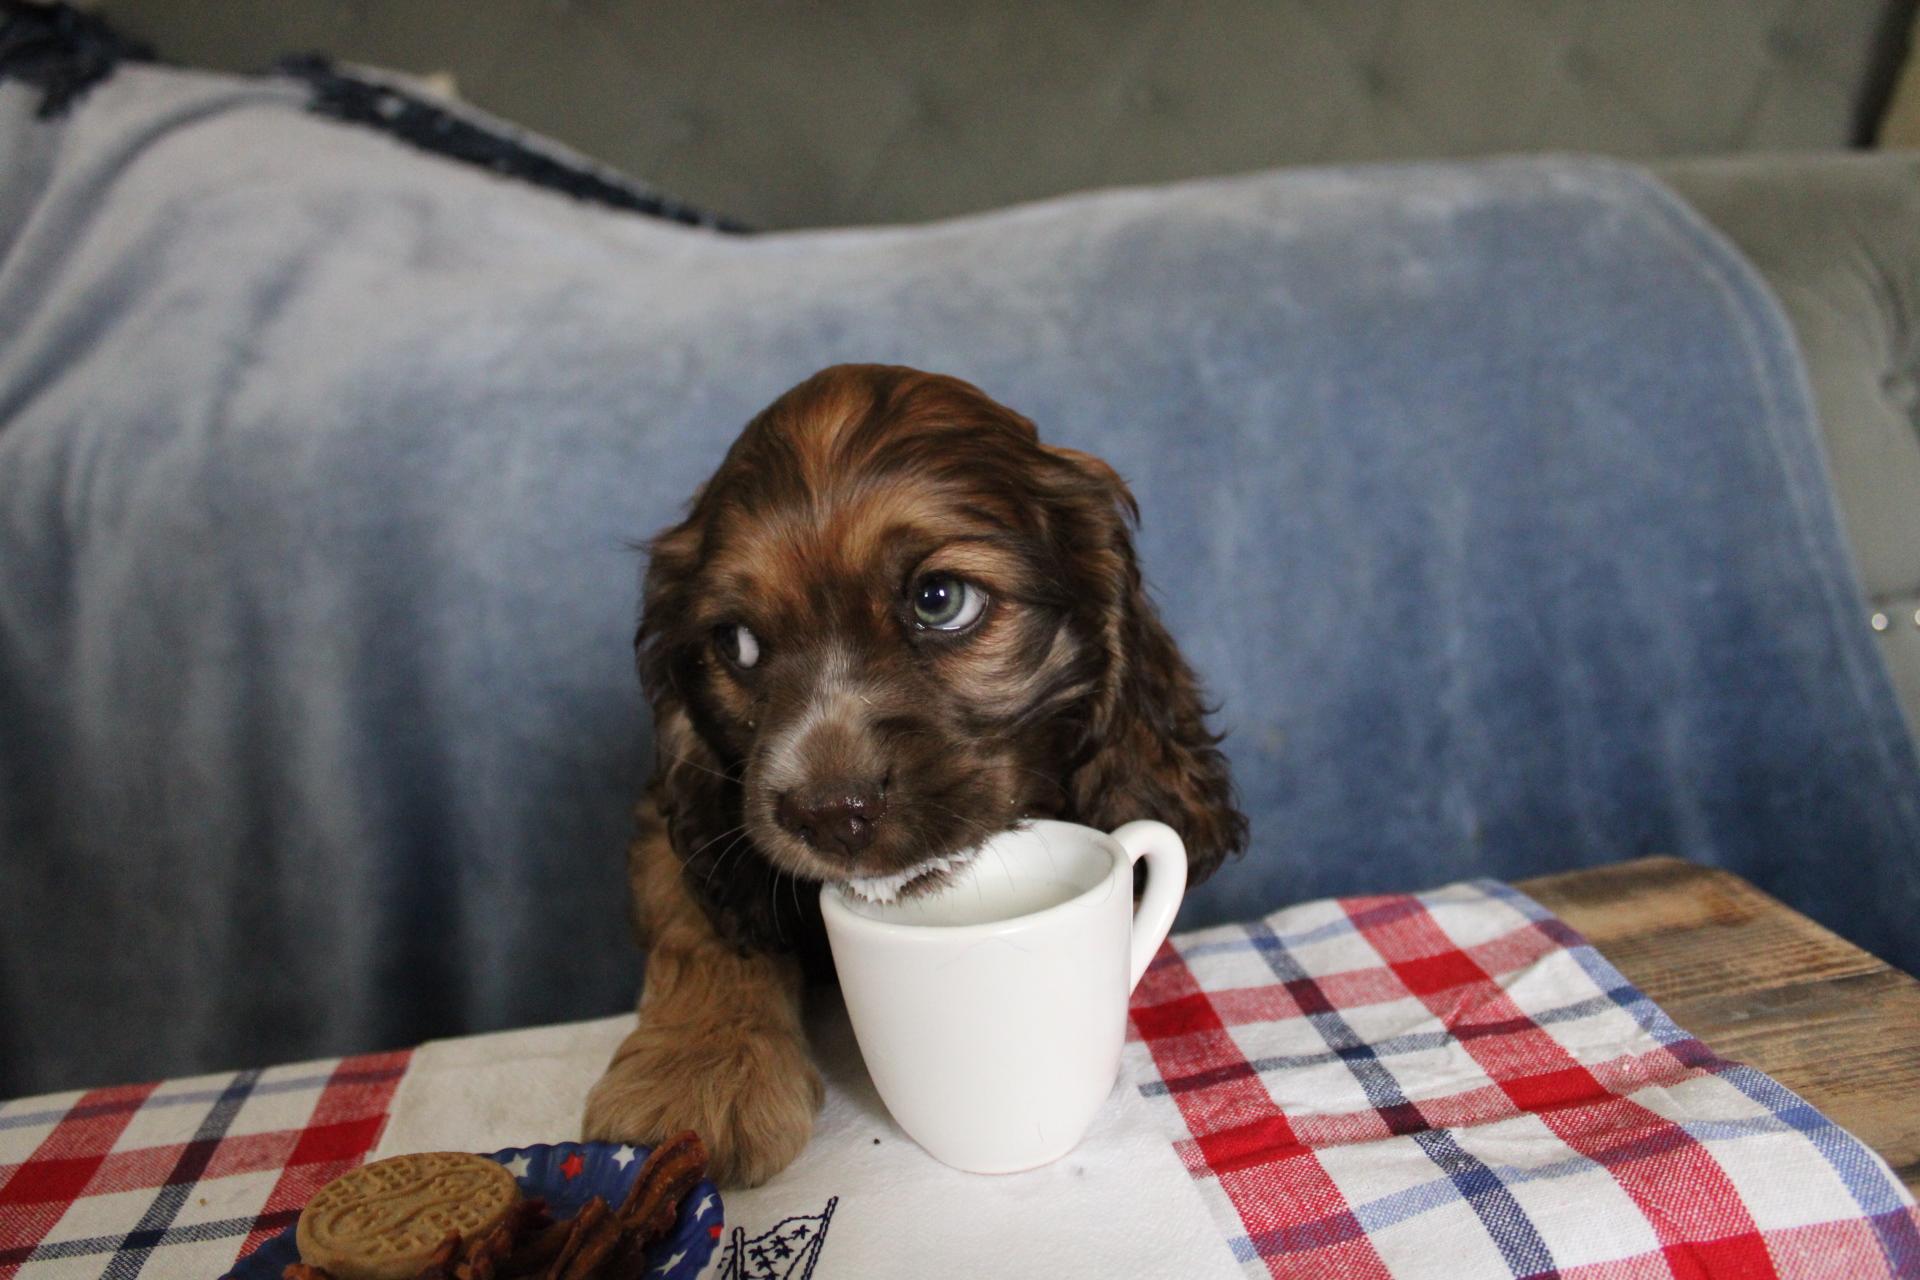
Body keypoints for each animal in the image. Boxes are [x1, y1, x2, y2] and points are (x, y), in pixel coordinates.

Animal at [583, 364, 1246, 1185]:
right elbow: (698, 924)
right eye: (736, 644)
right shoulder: (685, 822)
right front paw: (696, 1074)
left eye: (940, 600)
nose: (828, 813)